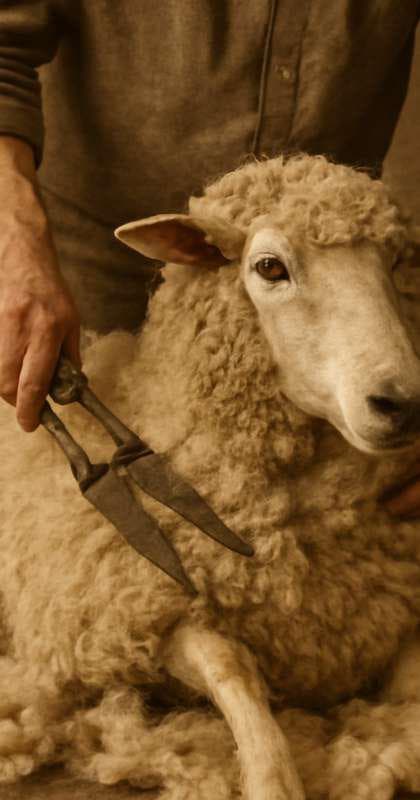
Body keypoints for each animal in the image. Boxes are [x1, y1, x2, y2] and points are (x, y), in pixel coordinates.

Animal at [1, 153, 420, 800]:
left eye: (397, 258)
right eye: (269, 267)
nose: (402, 403)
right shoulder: (140, 616)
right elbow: (232, 669)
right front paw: (274, 777)